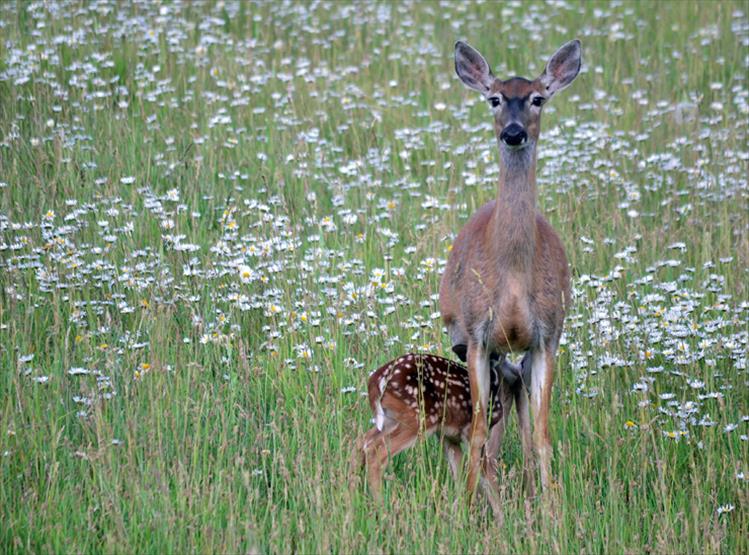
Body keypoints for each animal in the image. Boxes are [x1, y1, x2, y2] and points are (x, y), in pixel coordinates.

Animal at [350, 354, 524, 524]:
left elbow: (465, 477)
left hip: (391, 419)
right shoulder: (475, 436)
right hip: (419, 418)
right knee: (375, 451)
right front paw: (473, 520)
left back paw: (354, 497)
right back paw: (383, 512)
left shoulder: (449, 437)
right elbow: (480, 477)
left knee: (361, 442)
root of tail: (377, 379)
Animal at [438, 39, 580, 500]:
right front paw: (465, 506)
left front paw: (552, 508)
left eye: (538, 98)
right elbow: (479, 430)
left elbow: (542, 434)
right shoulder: (477, 336)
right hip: (464, 338)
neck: (515, 275)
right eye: (494, 98)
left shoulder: (547, 336)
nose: (514, 132)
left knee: (517, 389)